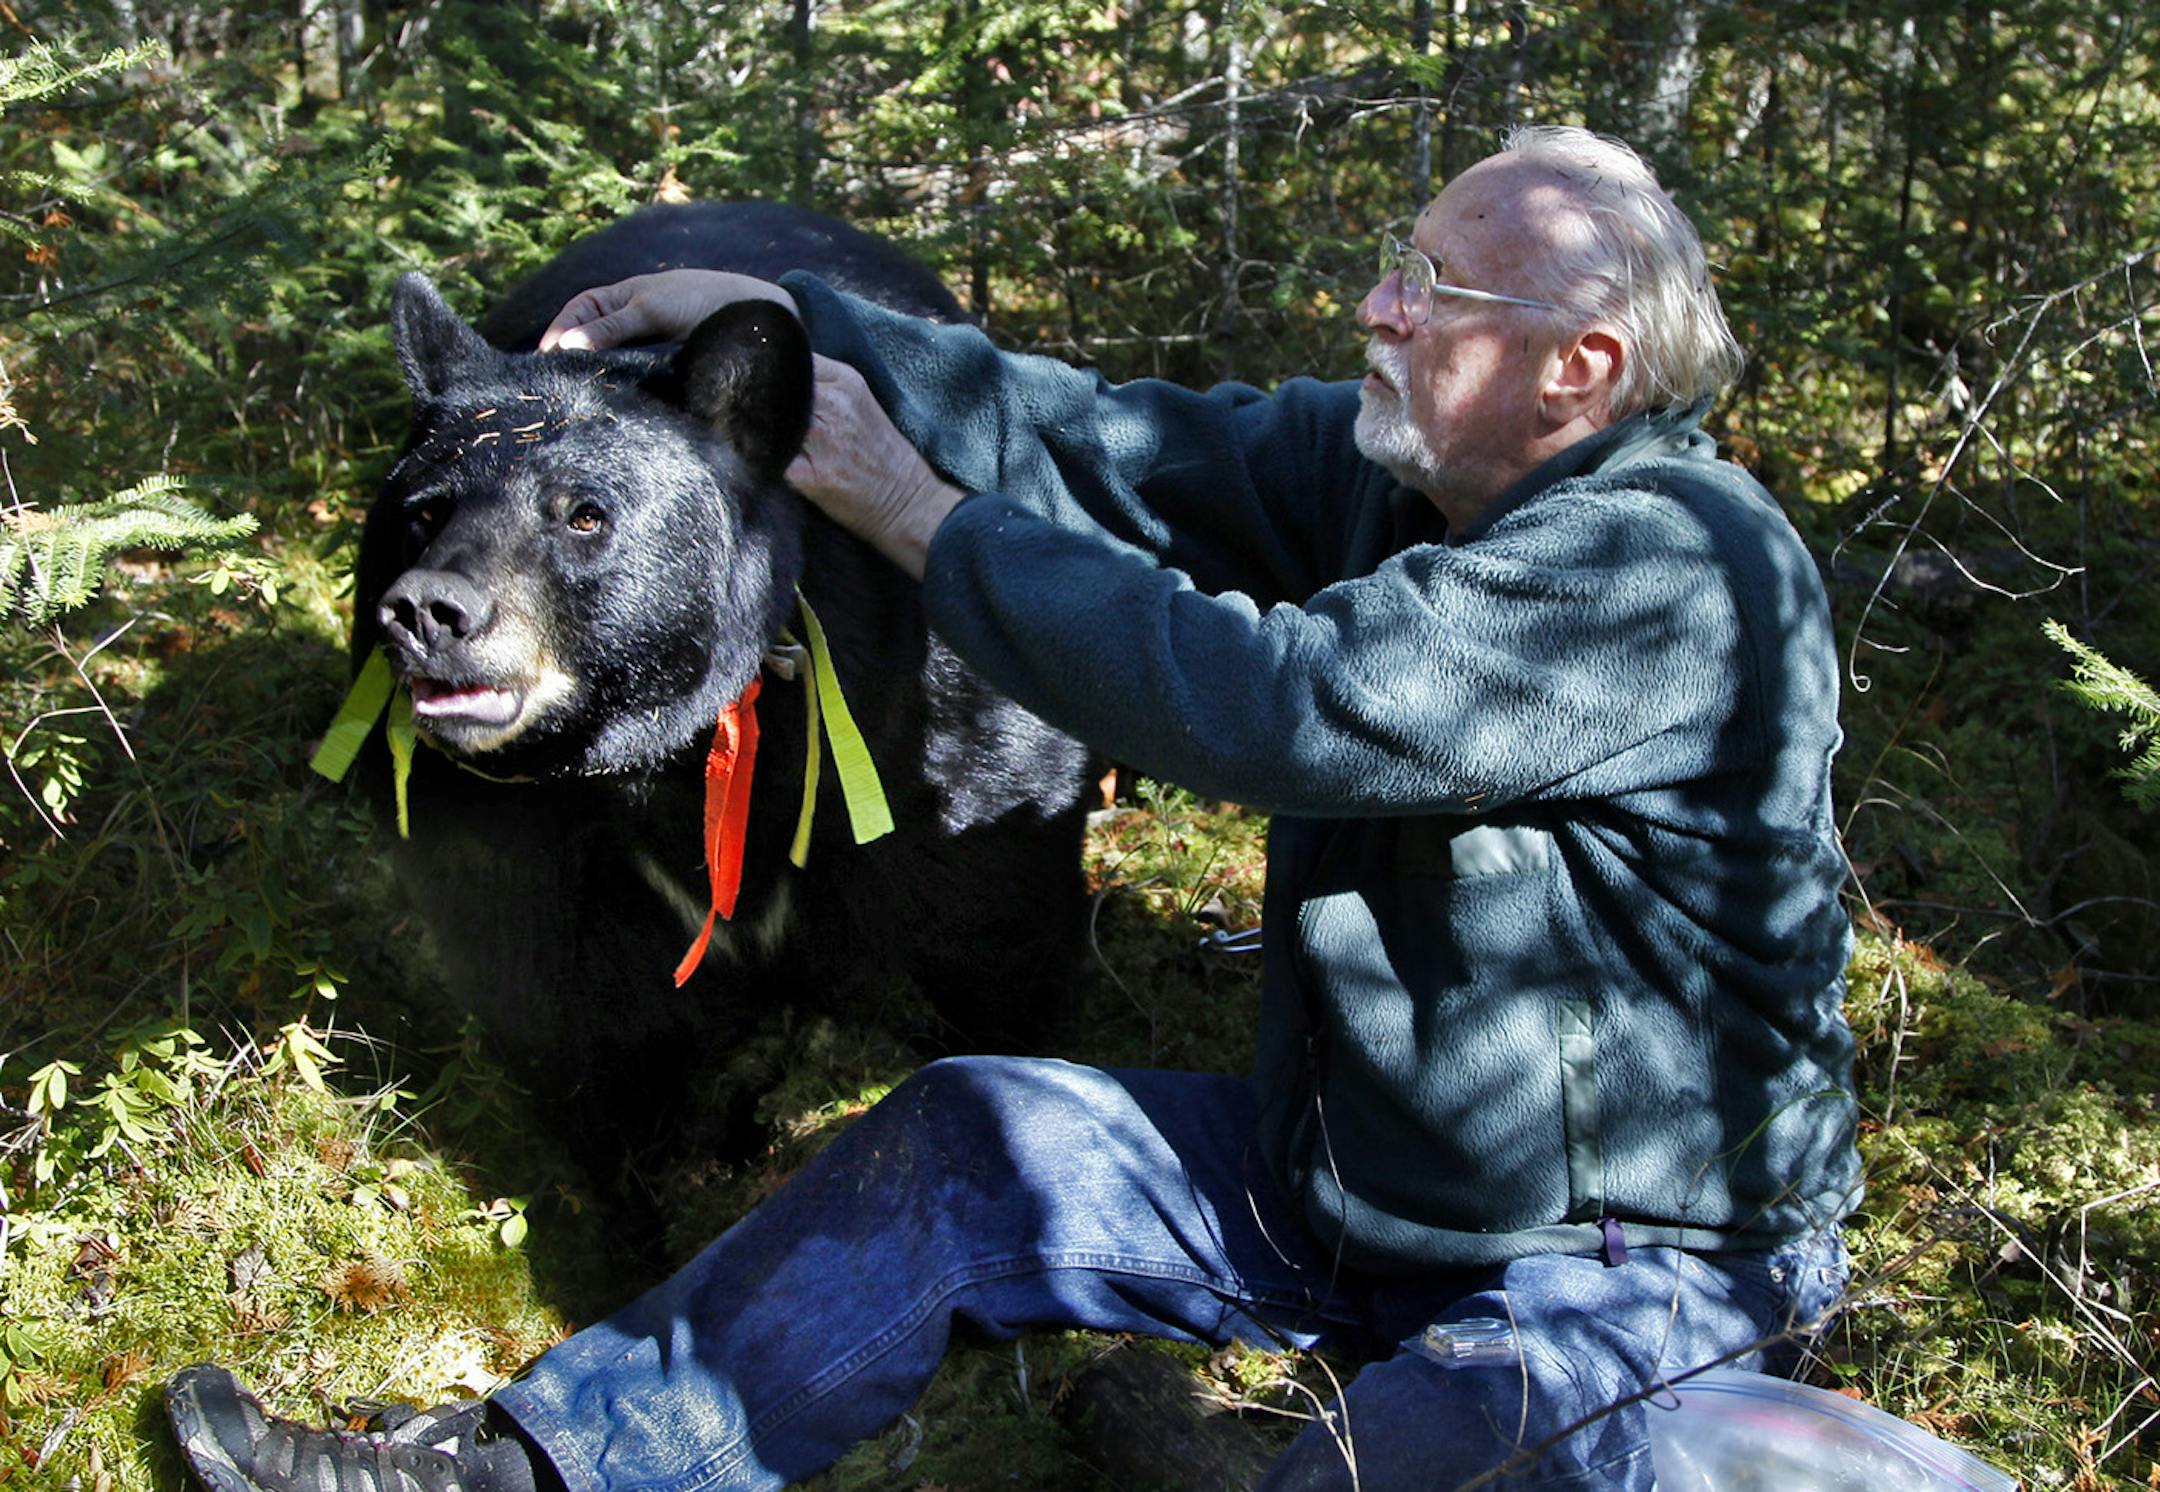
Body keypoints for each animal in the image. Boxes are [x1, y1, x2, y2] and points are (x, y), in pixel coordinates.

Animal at [337, 203, 1094, 1163]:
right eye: (426, 511)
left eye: (585, 514)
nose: (427, 611)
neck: (667, 759)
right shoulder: (529, 865)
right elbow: (579, 1048)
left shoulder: (945, 765)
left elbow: (997, 947)